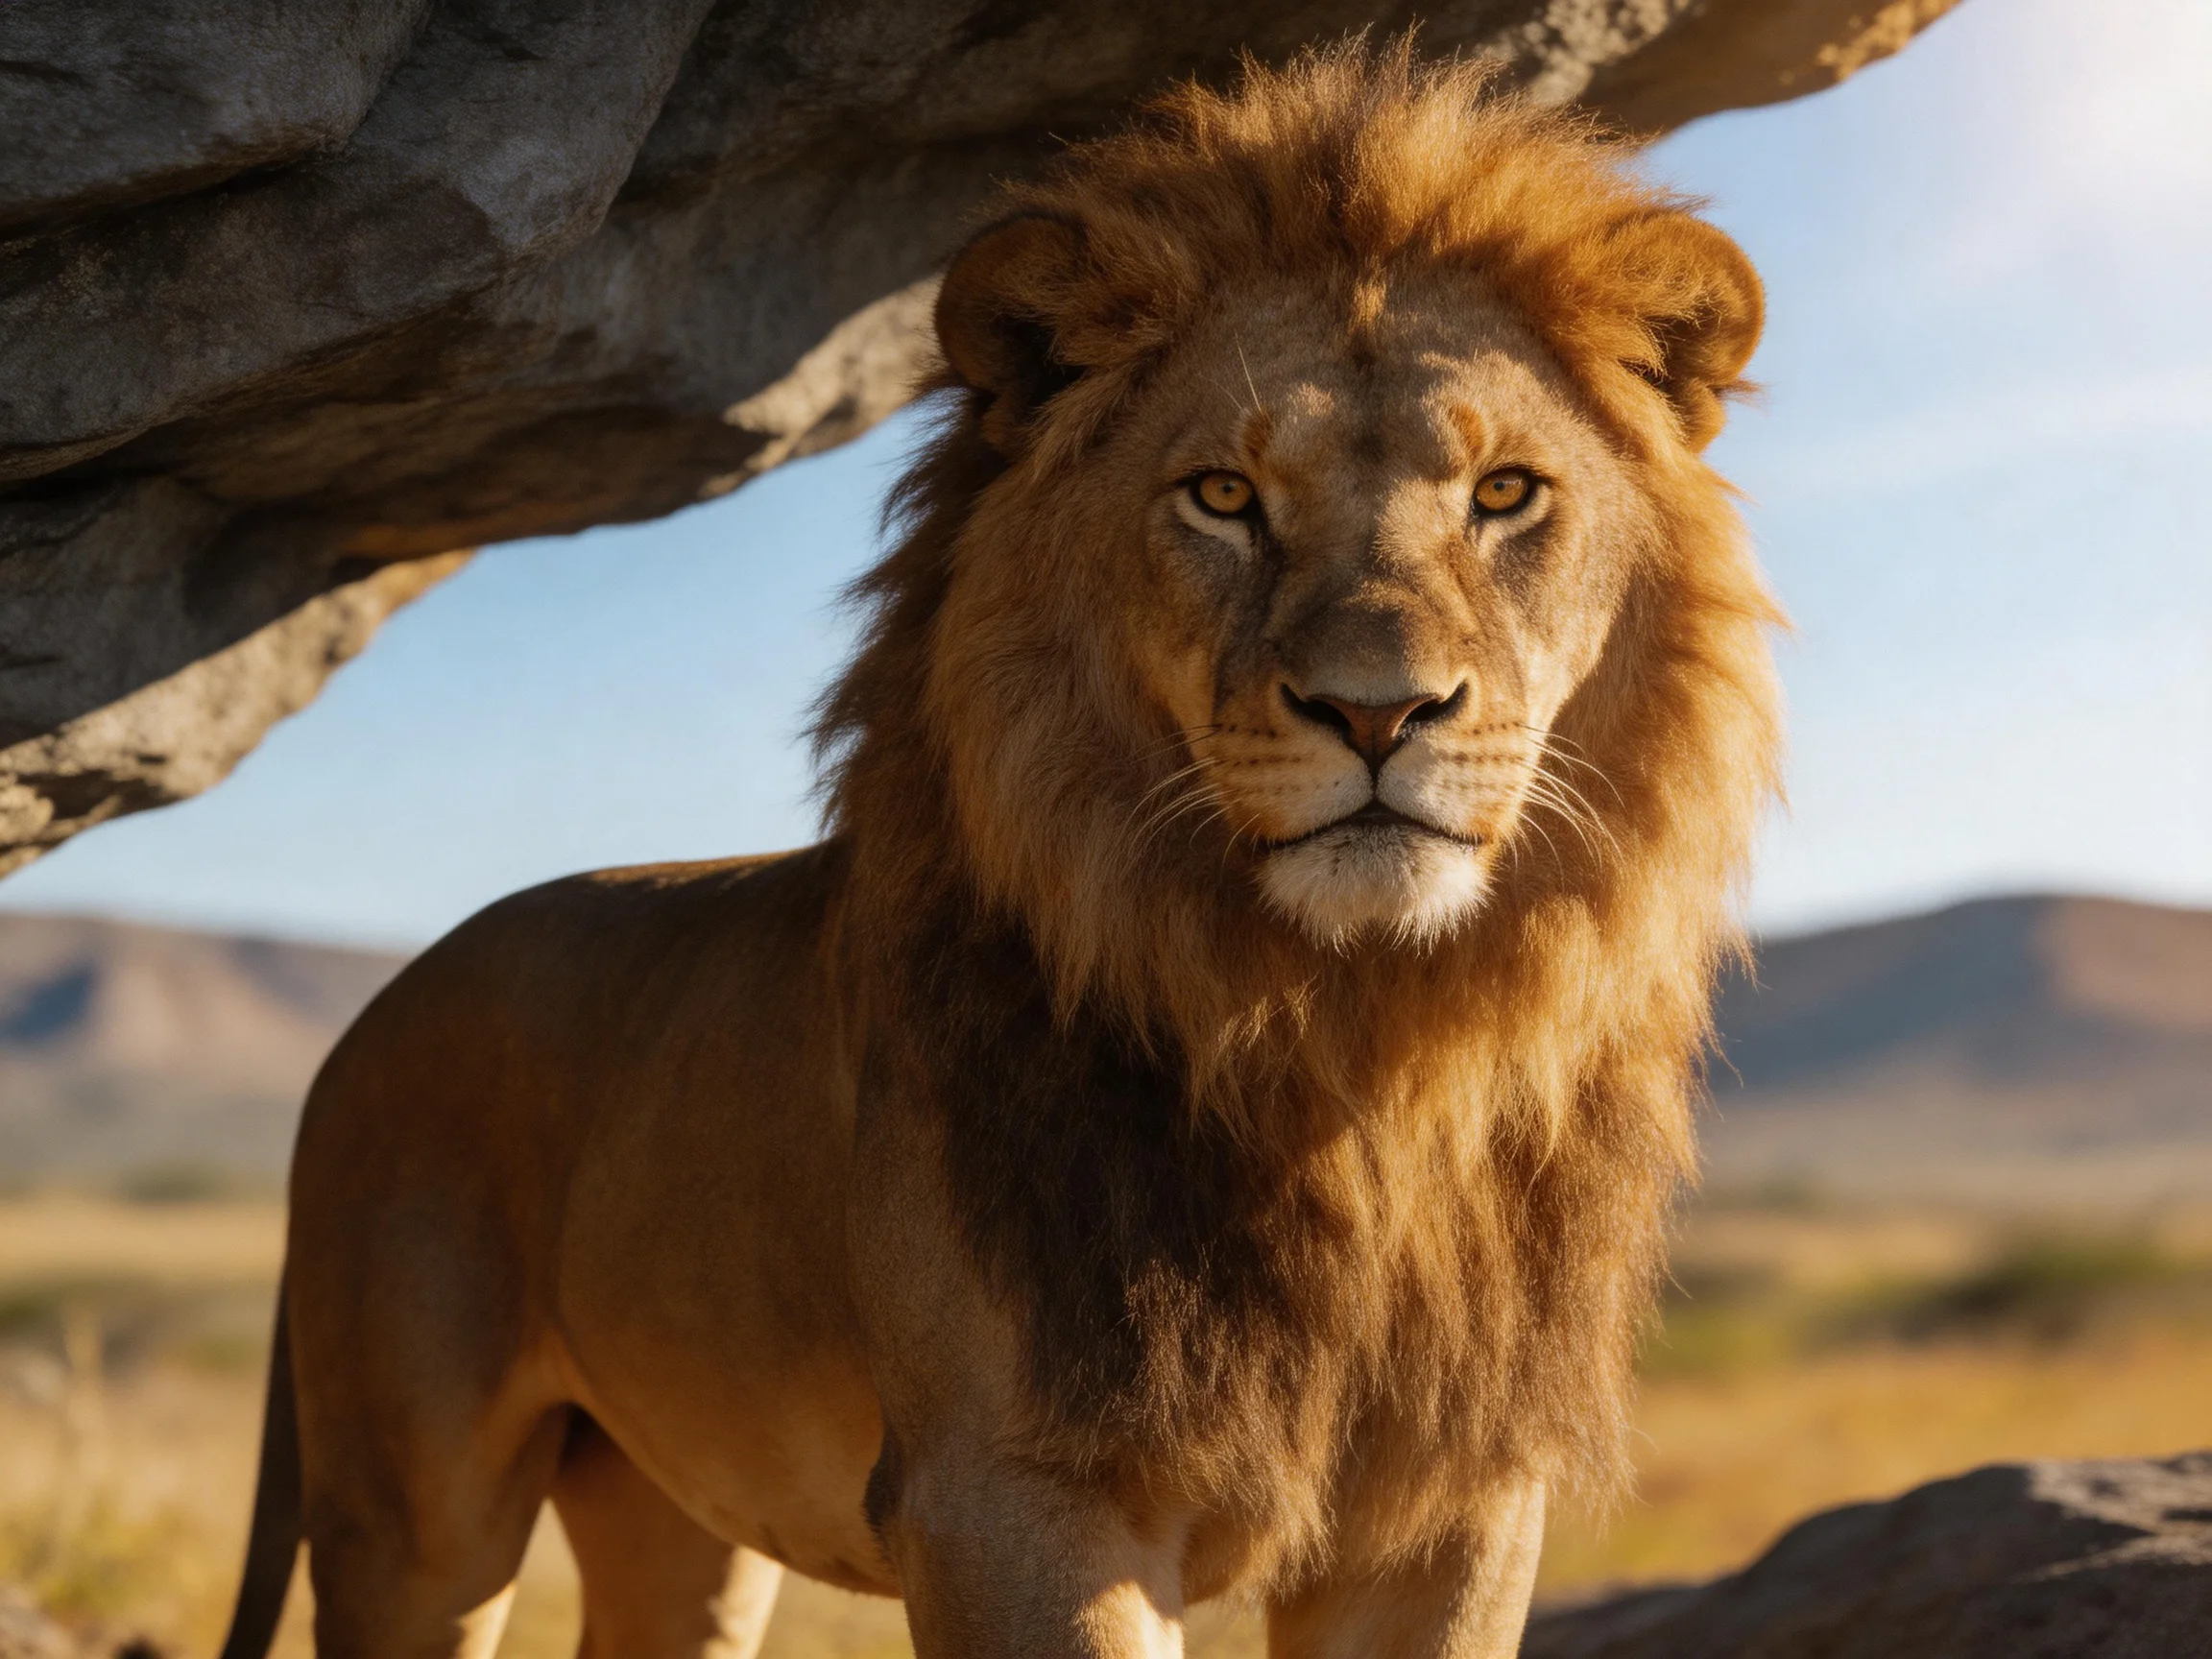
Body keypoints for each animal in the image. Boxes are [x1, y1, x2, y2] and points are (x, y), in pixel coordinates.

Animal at [216, 44, 1780, 1659]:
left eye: (1506, 494)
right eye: (1224, 496)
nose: (1377, 710)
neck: (1346, 1048)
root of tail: (378, 1010)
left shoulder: (1456, 1503)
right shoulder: (1011, 1490)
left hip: (679, 1529)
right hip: (415, 1514)